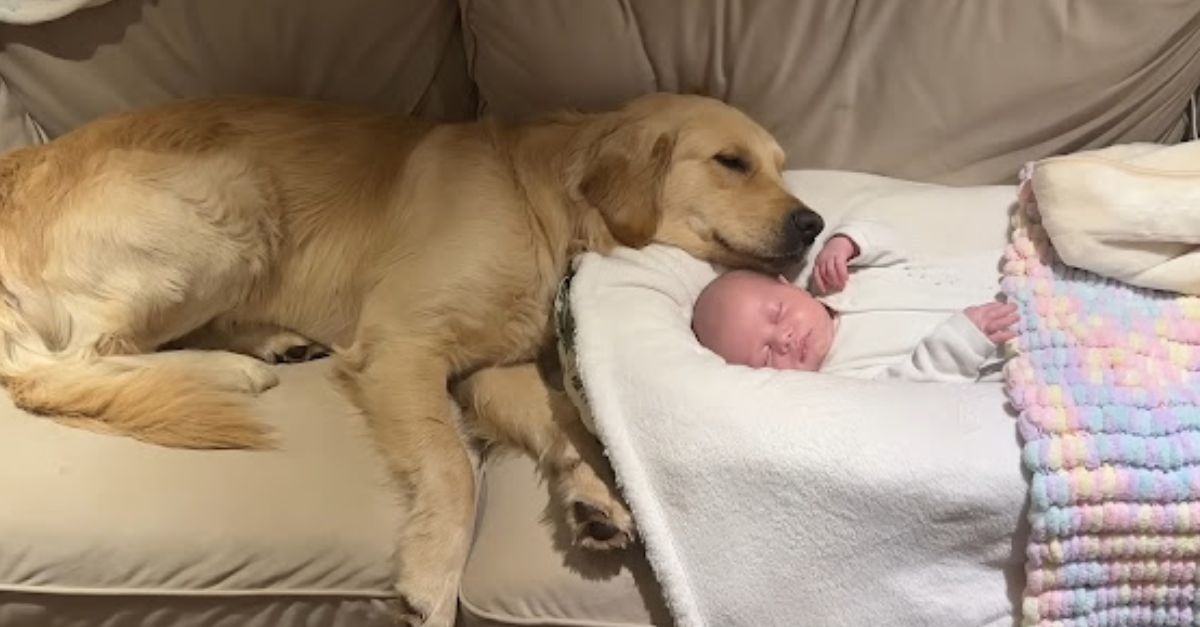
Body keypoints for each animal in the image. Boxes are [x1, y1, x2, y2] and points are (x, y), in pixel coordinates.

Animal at [0, 90, 825, 619]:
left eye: (780, 165)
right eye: (731, 162)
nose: (813, 223)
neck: (538, 202)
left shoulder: (494, 366)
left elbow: (564, 421)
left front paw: (594, 495)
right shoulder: (401, 348)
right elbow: (454, 466)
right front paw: (433, 573)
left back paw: (270, 340)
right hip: (227, 197)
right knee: (65, 367)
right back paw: (235, 368)